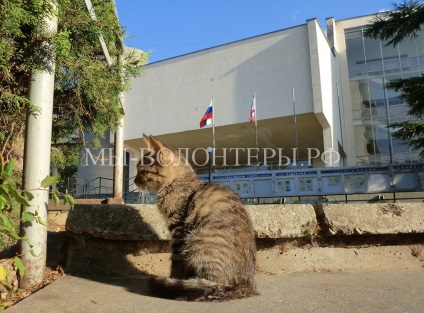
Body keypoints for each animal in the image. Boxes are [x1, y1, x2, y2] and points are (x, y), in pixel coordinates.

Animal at [134, 135, 256, 302]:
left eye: (142, 171)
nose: (134, 181)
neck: (178, 182)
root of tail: (247, 285)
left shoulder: (178, 229)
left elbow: (176, 262)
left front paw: (174, 279)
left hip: (198, 241)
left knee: (215, 284)